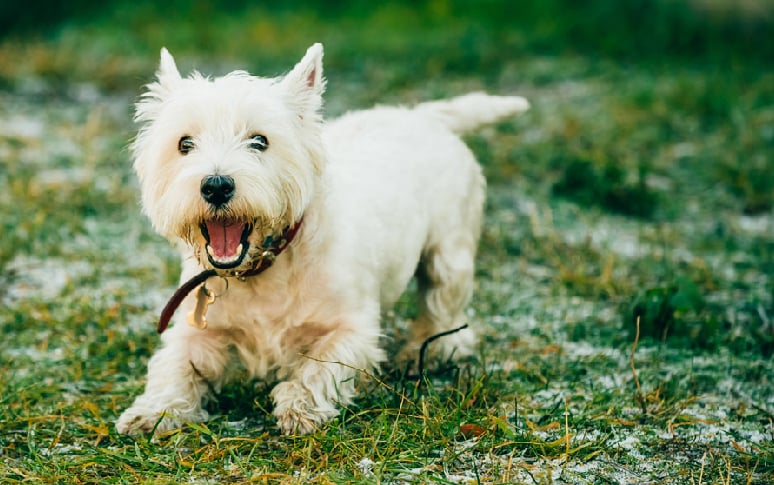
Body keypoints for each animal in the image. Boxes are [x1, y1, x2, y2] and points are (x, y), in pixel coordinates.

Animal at [116, 42, 528, 434]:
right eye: (185, 144)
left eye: (259, 141)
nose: (216, 186)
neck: (264, 267)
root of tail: (420, 116)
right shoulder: (196, 330)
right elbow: (173, 367)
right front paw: (152, 412)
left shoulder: (352, 328)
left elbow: (321, 365)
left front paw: (299, 407)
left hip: (449, 251)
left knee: (444, 306)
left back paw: (426, 351)